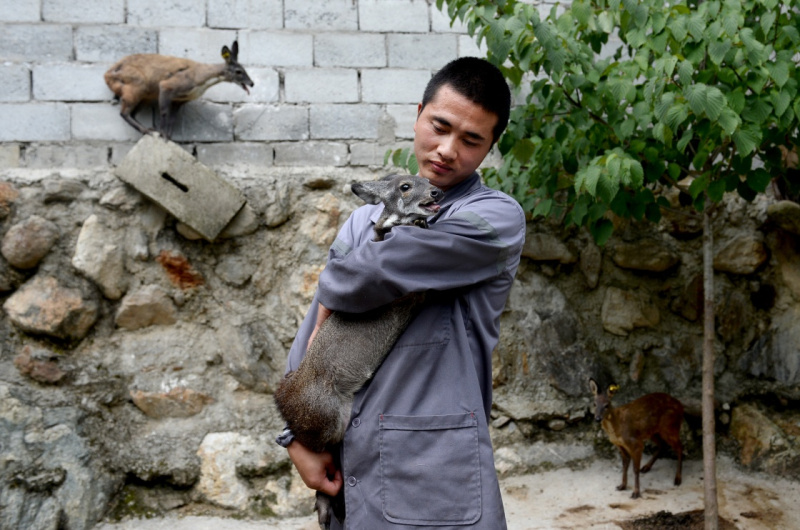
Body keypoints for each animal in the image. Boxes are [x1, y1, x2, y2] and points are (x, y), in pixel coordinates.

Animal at [104, 40, 253, 140]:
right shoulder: (166, 86)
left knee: (132, 113)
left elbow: (173, 118)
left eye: (244, 69)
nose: (252, 83)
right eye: (239, 71)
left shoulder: (180, 99)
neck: (199, 78)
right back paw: (148, 131)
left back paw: (148, 129)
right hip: (136, 85)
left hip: (144, 95)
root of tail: (107, 74)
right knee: (124, 113)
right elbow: (164, 112)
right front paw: (163, 135)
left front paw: (169, 137)